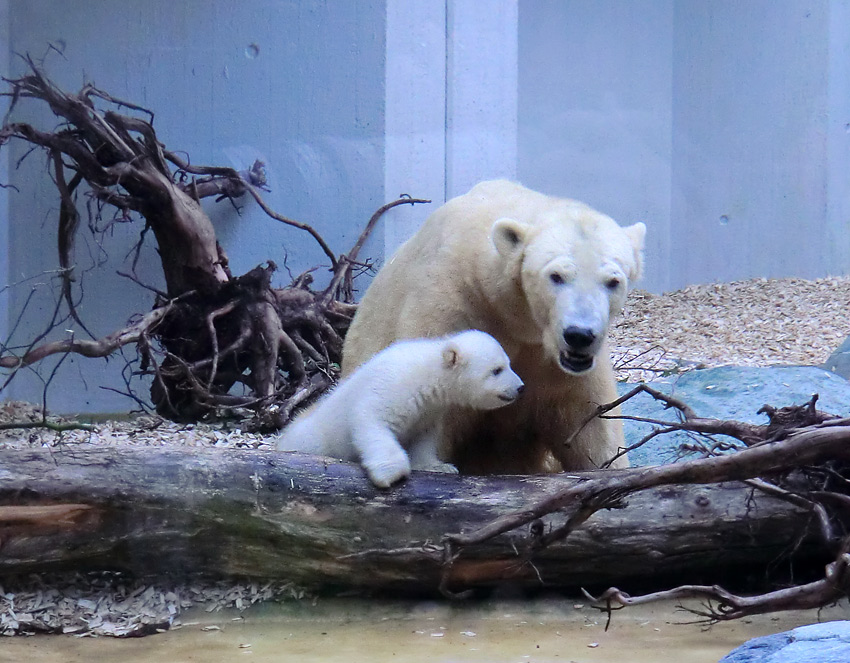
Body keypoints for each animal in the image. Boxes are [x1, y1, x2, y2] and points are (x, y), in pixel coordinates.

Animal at [272, 330, 524, 488]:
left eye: (509, 363)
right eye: (497, 370)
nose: (521, 387)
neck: (429, 373)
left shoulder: (430, 409)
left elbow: (424, 437)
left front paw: (440, 467)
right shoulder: (392, 385)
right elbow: (372, 421)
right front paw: (391, 473)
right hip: (312, 441)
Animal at [340, 179, 644, 474]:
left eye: (613, 281)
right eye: (556, 276)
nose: (579, 336)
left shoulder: (556, 364)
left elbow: (592, 420)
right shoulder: (449, 307)